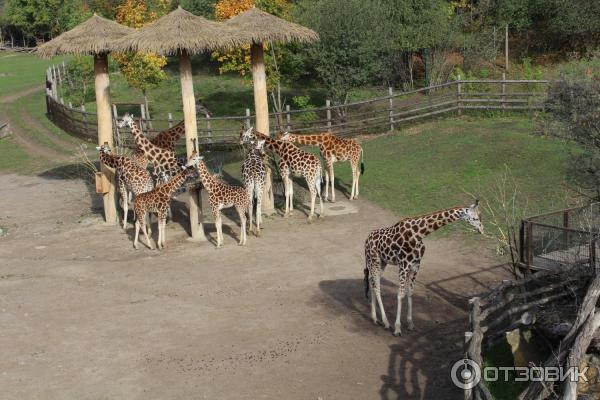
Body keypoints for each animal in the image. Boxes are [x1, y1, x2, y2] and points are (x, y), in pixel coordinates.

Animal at [364, 202, 486, 336]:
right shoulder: (403, 265)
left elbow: (410, 292)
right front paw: (397, 328)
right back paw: (385, 322)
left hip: (382, 262)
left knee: (372, 281)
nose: (482, 230)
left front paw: (410, 324)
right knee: (376, 286)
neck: (418, 234)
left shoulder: (415, 265)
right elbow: (400, 295)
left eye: (480, 217)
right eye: (475, 218)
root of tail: (366, 240)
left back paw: (375, 318)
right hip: (374, 260)